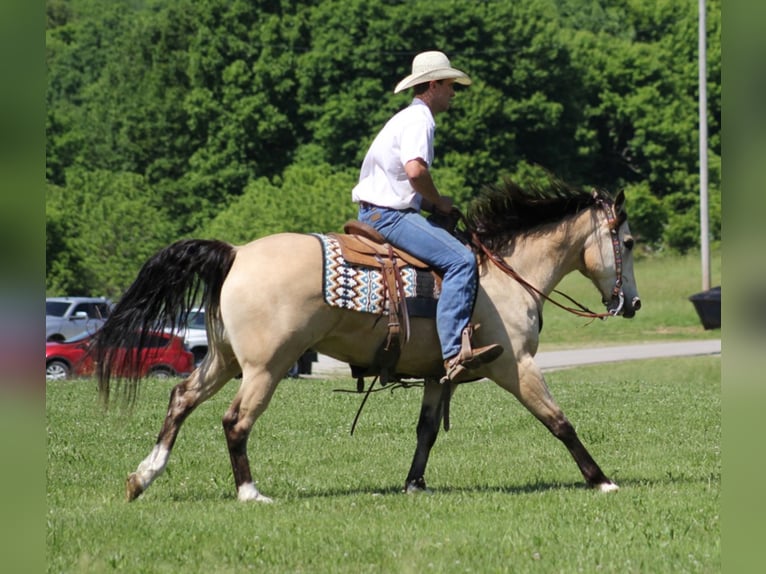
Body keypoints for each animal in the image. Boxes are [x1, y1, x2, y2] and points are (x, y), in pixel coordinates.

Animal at [94, 181, 640, 504]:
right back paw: (249, 492)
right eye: (629, 242)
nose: (631, 303)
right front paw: (601, 479)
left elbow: (425, 432)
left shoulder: (438, 375)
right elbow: (559, 421)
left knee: (181, 397)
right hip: (265, 367)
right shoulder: (516, 365)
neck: (502, 276)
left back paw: (143, 476)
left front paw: (414, 483)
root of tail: (237, 253)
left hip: (225, 360)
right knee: (235, 421)